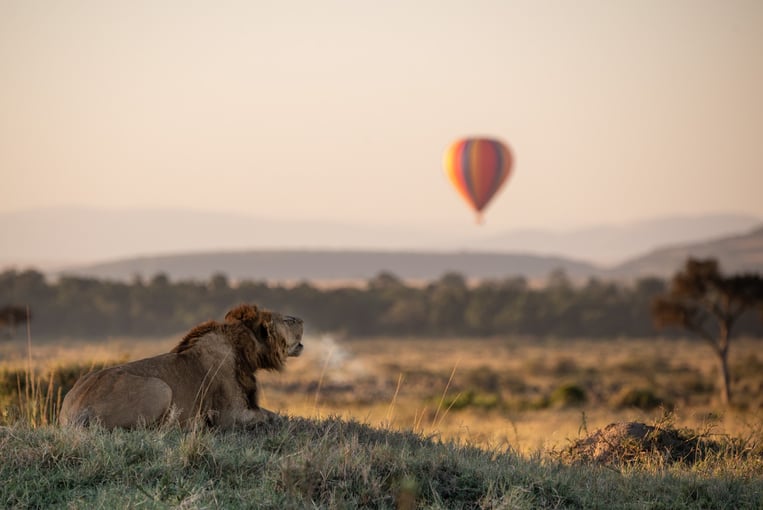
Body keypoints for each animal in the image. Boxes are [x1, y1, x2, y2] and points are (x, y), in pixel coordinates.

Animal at [59, 304, 304, 428]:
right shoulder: (230, 415)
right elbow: (270, 416)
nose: (302, 319)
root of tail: (76, 408)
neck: (242, 349)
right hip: (161, 388)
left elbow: (272, 413)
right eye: (288, 321)